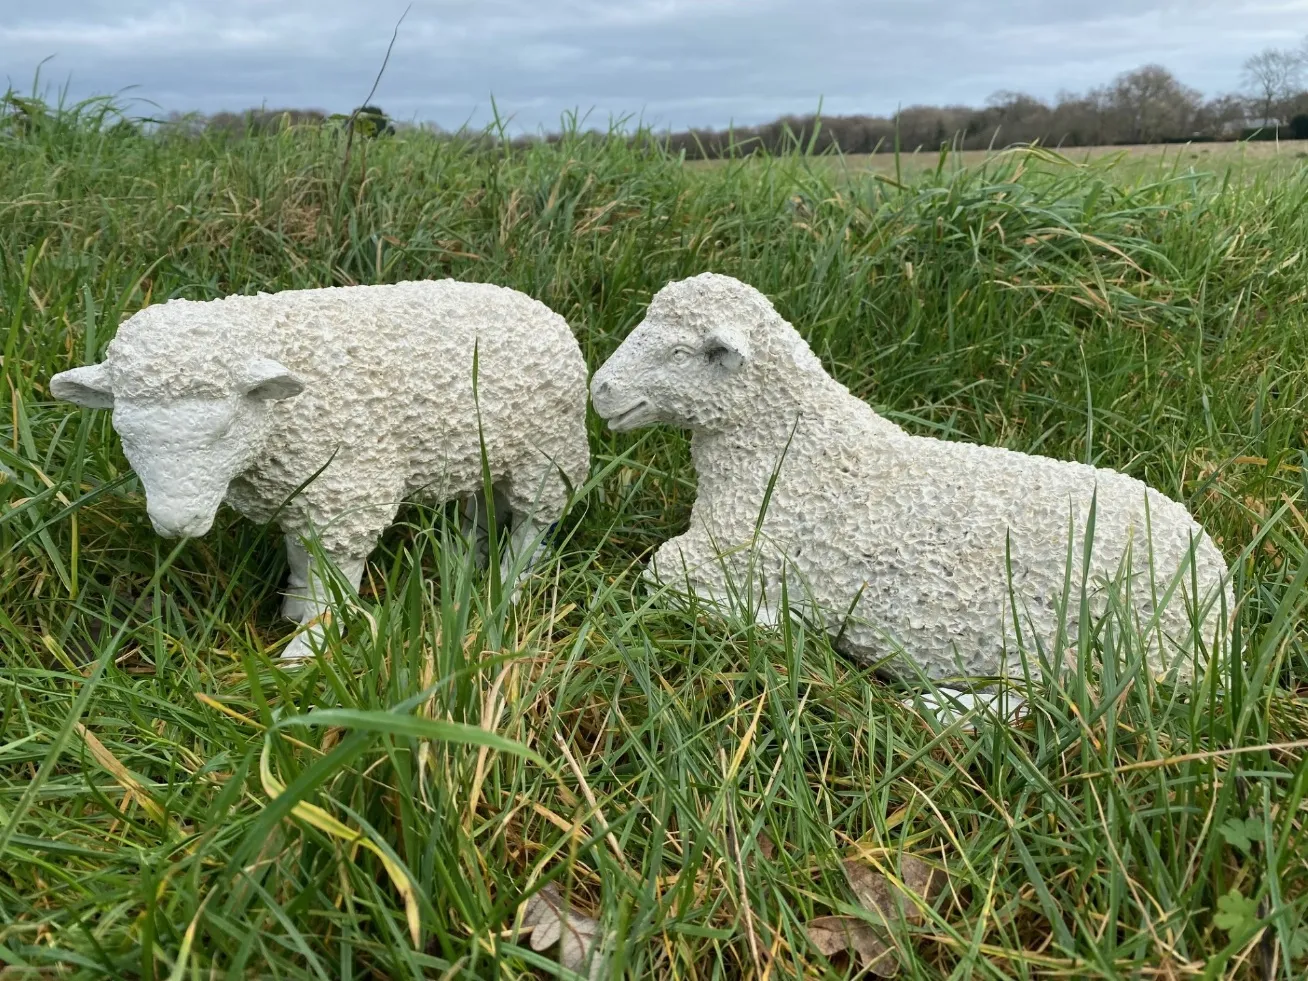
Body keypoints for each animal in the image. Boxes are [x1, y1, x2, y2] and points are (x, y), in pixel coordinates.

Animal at [51, 280, 591, 660]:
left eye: (224, 430)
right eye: (126, 434)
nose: (176, 524)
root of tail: (538, 307)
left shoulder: (350, 489)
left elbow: (335, 572)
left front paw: (309, 647)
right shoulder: (299, 486)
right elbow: (300, 550)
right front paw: (296, 608)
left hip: (550, 451)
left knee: (534, 520)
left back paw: (511, 582)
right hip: (487, 450)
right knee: (482, 505)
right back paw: (465, 560)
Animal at [590, 272, 1231, 690]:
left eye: (679, 352)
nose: (599, 388)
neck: (788, 448)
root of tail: (1224, 608)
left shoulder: (737, 553)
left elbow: (660, 571)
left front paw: (780, 623)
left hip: (1099, 648)